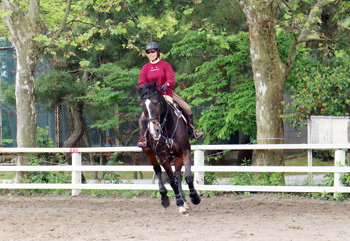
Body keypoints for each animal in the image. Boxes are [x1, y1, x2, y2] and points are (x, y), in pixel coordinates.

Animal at [134, 81, 201, 215]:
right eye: (142, 105)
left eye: (156, 102)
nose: (154, 130)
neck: (166, 128)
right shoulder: (163, 158)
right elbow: (172, 182)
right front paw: (179, 203)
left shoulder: (185, 151)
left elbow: (188, 177)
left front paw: (194, 197)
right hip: (149, 153)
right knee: (158, 170)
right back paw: (165, 197)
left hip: (177, 157)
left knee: (178, 175)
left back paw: (184, 201)